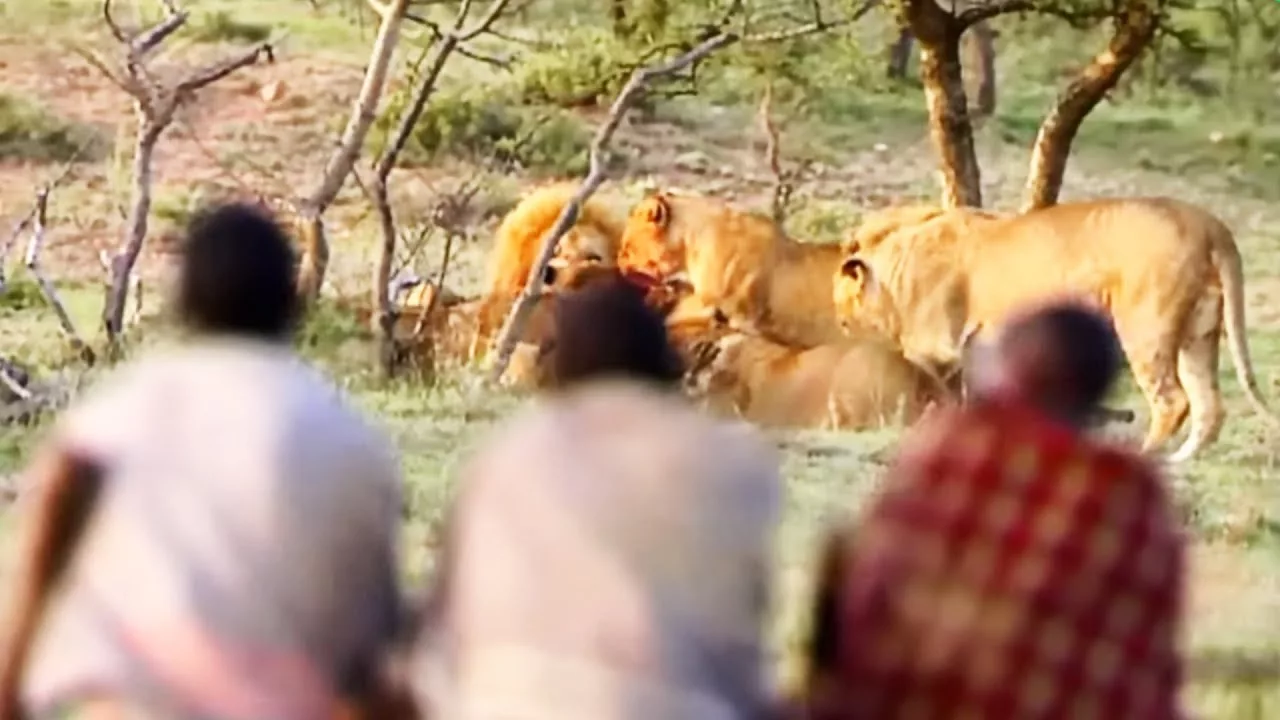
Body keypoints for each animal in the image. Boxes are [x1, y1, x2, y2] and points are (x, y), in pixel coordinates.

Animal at [834, 194, 1274, 458]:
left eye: (842, 318)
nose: (839, 332)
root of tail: (1208, 223)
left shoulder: (937, 349)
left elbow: (943, 397)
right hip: (1198, 335)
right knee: (1210, 406)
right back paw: (1180, 461)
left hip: (1144, 326)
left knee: (1173, 401)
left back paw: (1144, 455)